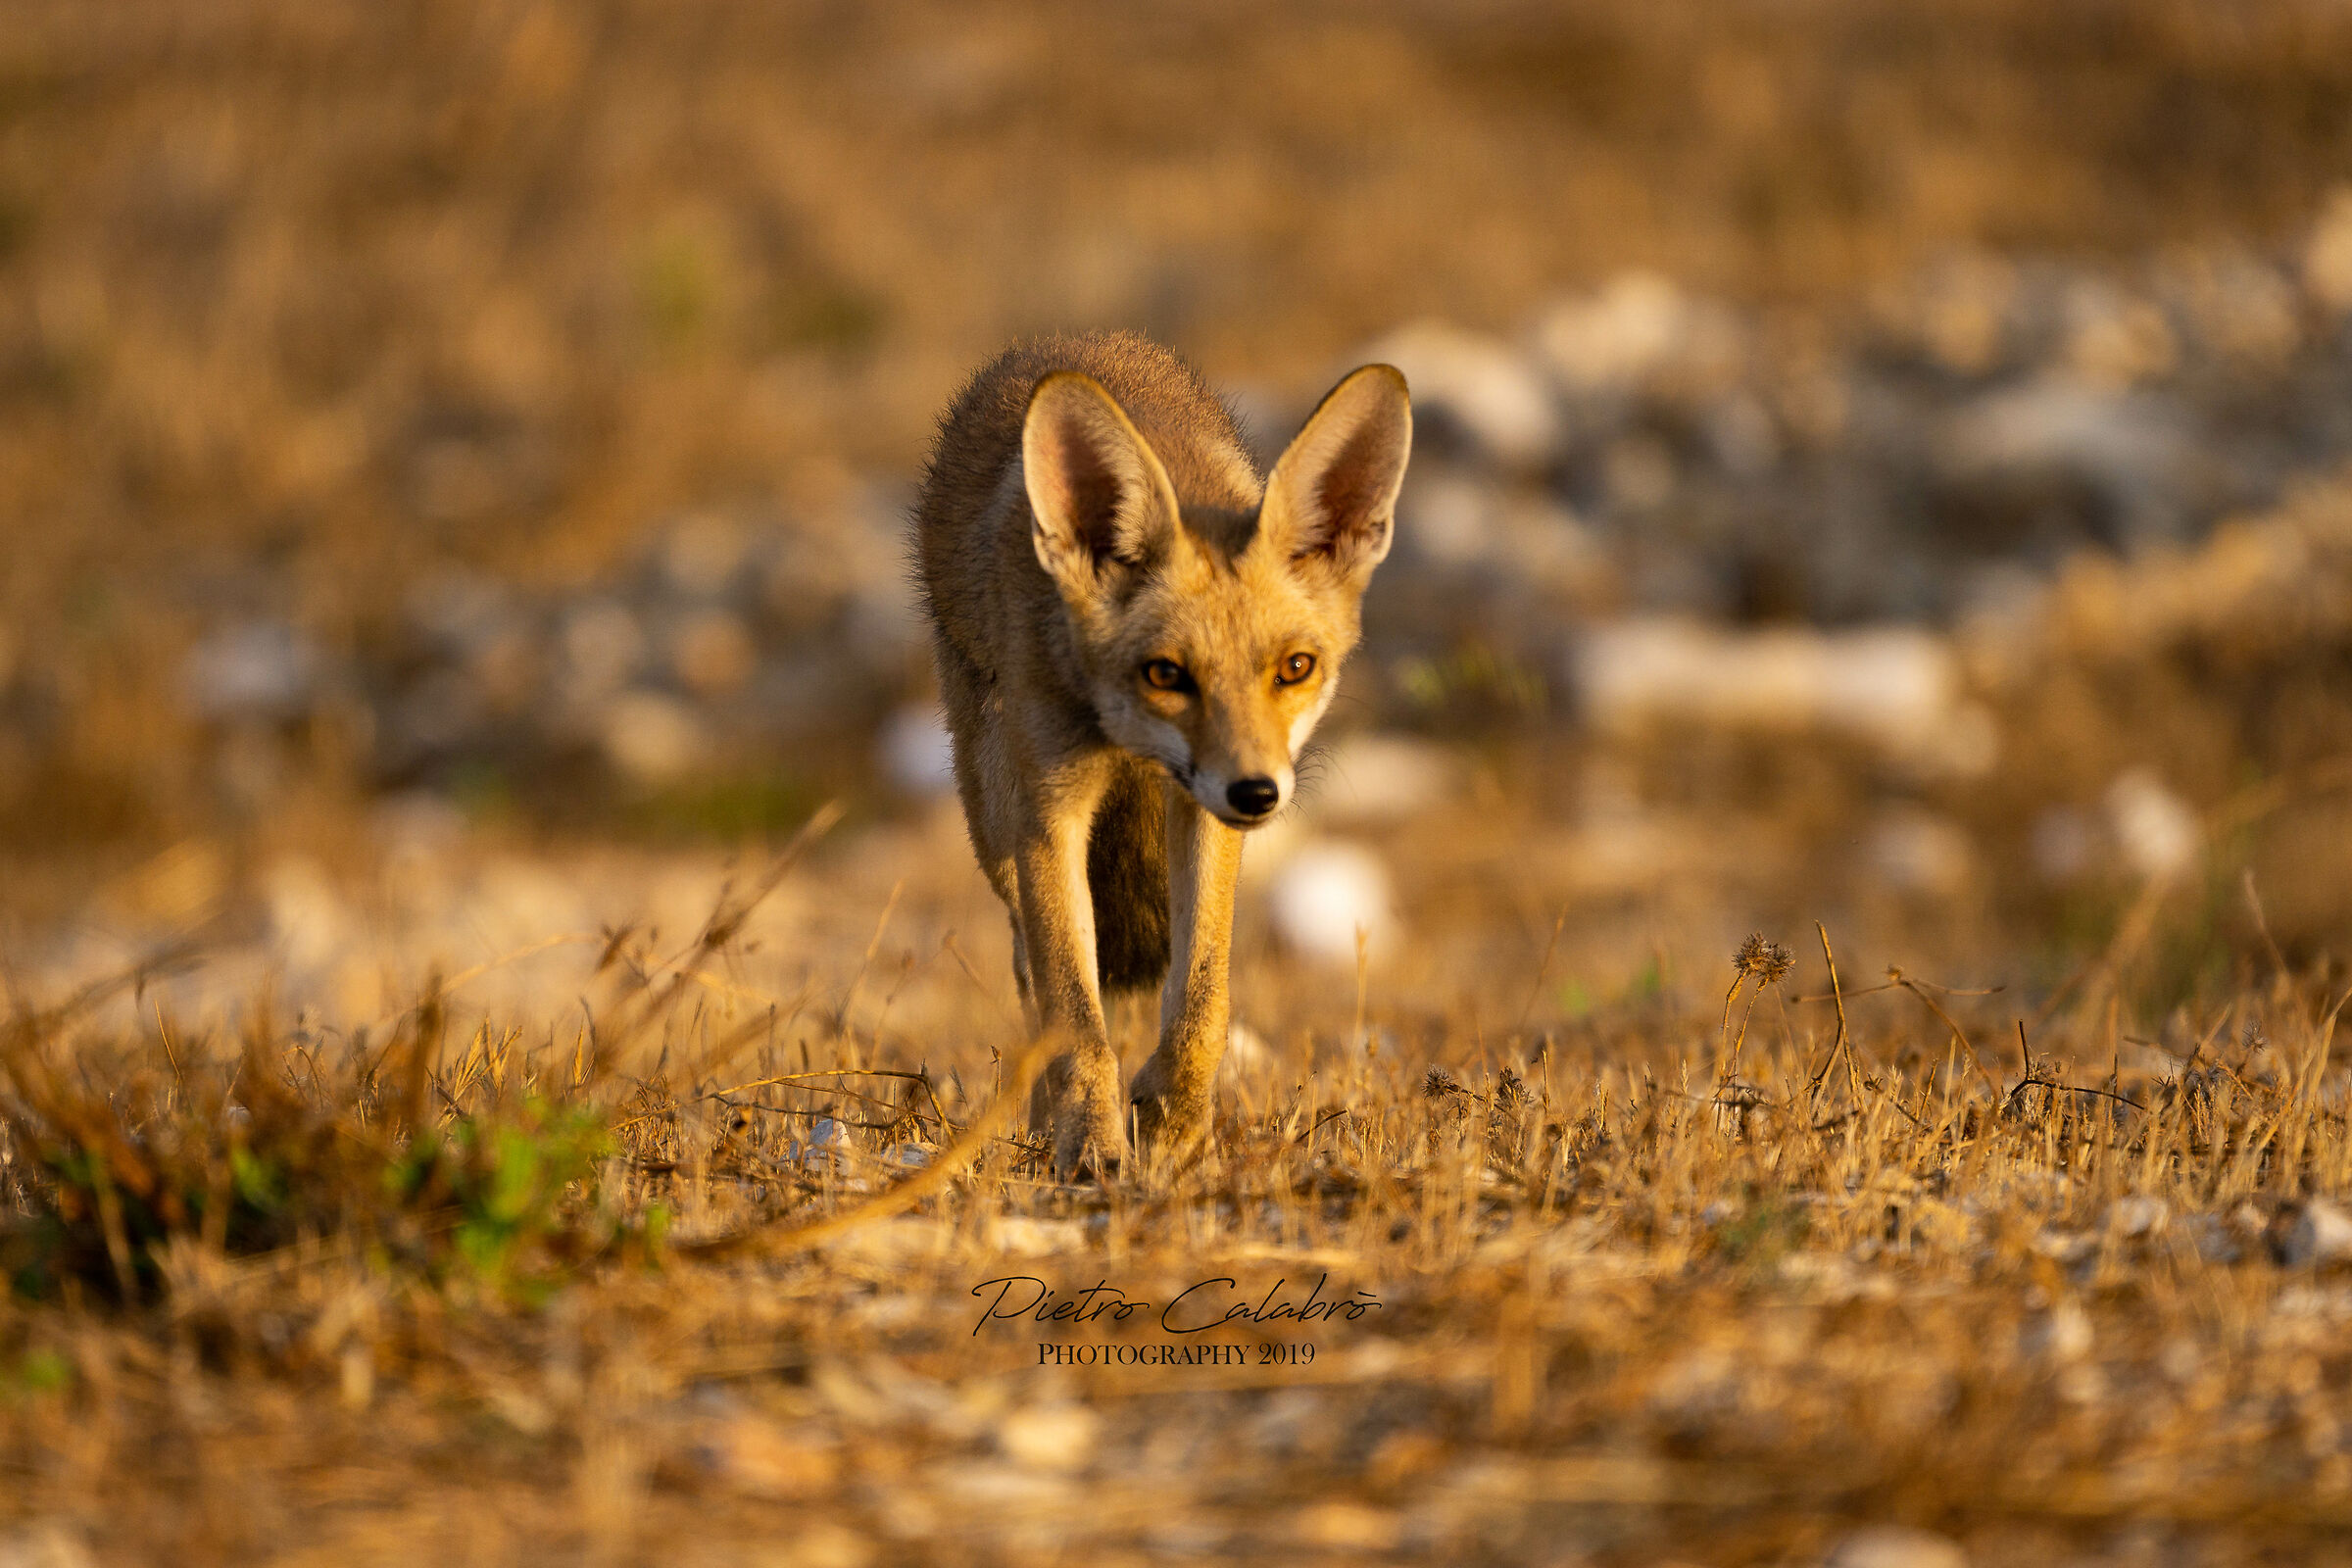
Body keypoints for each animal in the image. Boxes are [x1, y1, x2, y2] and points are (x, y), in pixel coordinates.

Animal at [912, 330, 1412, 1178]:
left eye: (1295, 667)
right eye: (1165, 674)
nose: (1257, 794)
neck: (1124, 738)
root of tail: (1071, 342)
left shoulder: (1198, 810)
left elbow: (1201, 997)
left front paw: (1173, 1124)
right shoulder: (1048, 812)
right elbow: (1075, 1013)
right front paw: (1090, 1147)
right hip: (993, 819)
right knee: (1030, 970)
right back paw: (1040, 1123)